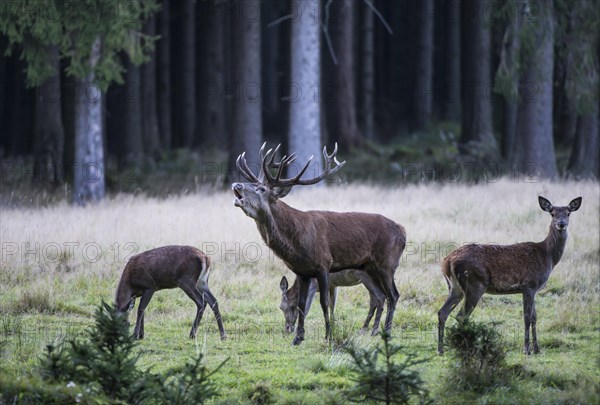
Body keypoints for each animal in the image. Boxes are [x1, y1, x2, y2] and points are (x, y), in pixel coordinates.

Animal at [232, 143, 406, 344]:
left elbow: (324, 302)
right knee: (383, 296)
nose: (236, 184)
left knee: (393, 295)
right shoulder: (302, 271)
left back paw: (387, 332)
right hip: (370, 268)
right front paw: (298, 338)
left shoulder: (323, 264)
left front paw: (328, 335)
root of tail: (403, 232)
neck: (296, 243)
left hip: (386, 263)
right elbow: (302, 303)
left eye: (261, 189)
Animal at [436, 196, 580, 354]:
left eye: (568, 213)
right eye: (552, 213)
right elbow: (527, 317)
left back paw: (441, 350)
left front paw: (537, 349)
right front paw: (527, 350)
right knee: (461, 316)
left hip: (455, 287)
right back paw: (465, 348)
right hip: (474, 283)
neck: (547, 256)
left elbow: (535, 317)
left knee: (442, 312)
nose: (561, 224)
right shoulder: (529, 285)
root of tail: (447, 261)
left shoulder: (534, 289)